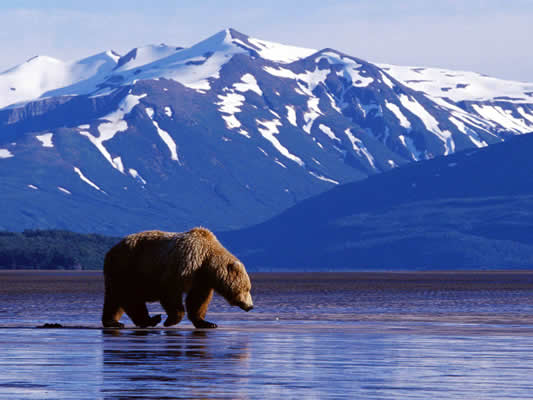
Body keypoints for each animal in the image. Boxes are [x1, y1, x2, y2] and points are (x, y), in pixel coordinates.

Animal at [103, 227, 255, 330]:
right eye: (247, 288)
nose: (251, 306)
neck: (206, 261)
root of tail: (111, 250)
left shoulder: (201, 279)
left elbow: (198, 300)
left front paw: (207, 323)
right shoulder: (183, 266)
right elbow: (170, 292)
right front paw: (171, 320)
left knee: (114, 299)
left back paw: (113, 322)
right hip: (129, 268)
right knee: (130, 296)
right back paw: (150, 320)